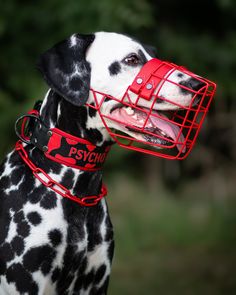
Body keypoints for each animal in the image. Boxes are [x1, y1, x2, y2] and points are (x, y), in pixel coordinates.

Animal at [0, 32, 203, 295]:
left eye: (153, 55)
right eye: (132, 59)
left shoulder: (95, 283)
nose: (197, 85)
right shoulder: (24, 283)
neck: (77, 193)